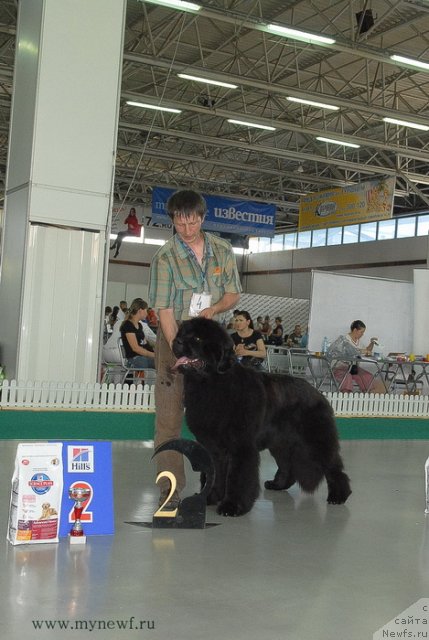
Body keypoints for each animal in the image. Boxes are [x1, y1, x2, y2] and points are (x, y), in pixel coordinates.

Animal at [171, 318, 352, 516]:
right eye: (181, 333)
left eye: (197, 338)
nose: (176, 341)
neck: (212, 384)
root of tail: (319, 393)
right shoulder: (211, 446)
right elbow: (214, 473)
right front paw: (210, 497)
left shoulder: (240, 446)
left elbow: (238, 476)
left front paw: (232, 506)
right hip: (281, 443)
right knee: (287, 465)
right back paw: (278, 484)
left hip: (315, 441)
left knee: (333, 466)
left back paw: (338, 495)